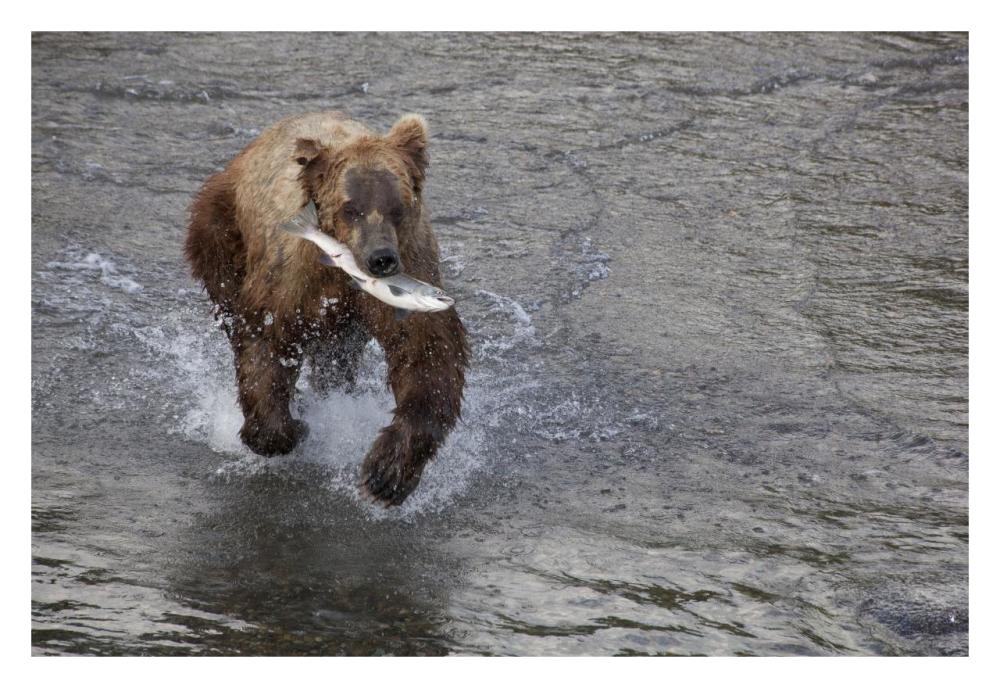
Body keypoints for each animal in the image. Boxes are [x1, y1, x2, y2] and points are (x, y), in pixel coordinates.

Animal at [185, 111, 469, 506]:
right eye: (351, 208)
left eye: (398, 207)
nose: (381, 258)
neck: (341, 271)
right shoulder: (291, 279)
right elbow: (266, 339)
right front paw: (290, 428)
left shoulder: (413, 265)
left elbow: (426, 354)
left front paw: (386, 473)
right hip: (222, 227)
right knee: (228, 295)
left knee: (337, 355)